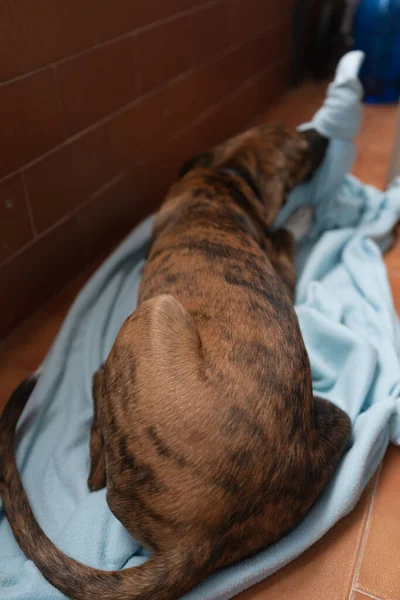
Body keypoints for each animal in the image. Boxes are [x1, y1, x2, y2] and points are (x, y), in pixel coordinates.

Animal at [0, 123, 350, 600]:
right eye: (291, 136)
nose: (322, 134)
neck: (226, 176)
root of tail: (204, 538)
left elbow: (286, 233)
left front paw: (303, 216)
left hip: (154, 312)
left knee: (96, 466)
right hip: (333, 417)